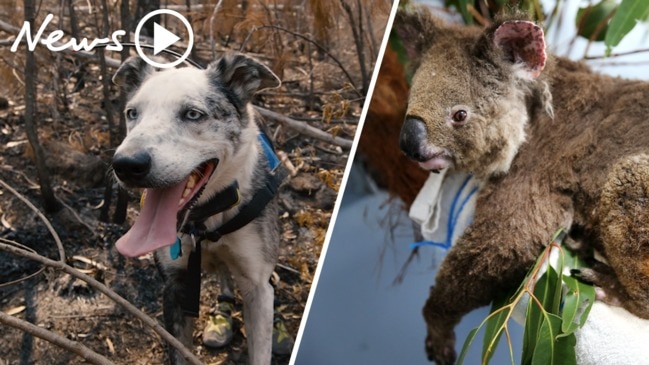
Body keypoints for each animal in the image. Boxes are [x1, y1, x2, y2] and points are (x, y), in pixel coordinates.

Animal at [110, 52, 280, 364]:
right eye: (132, 113)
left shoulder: (258, 289)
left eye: (192, 114)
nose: (126, 165)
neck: (207, 218)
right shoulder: (174, 286)